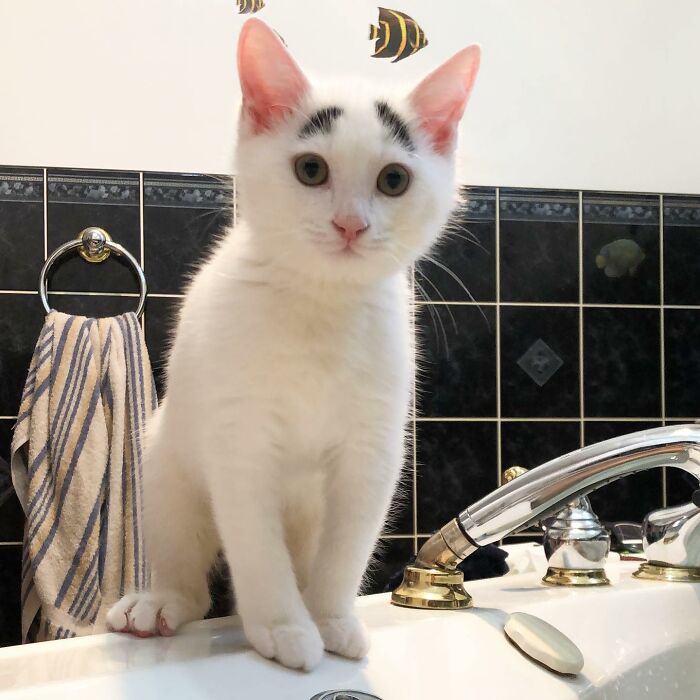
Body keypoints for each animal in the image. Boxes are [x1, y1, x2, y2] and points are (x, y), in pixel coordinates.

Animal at [108, 17, 482, 672]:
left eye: (393, 180)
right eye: (311, 170)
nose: (350, 225)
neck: (320, 306)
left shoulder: (373, 448)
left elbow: (347, 546)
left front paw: (330, 618)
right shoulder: (239, 440)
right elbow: (256, 547)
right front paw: (284, 628)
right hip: (166, 461)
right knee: (187, 564)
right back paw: (158, 604)